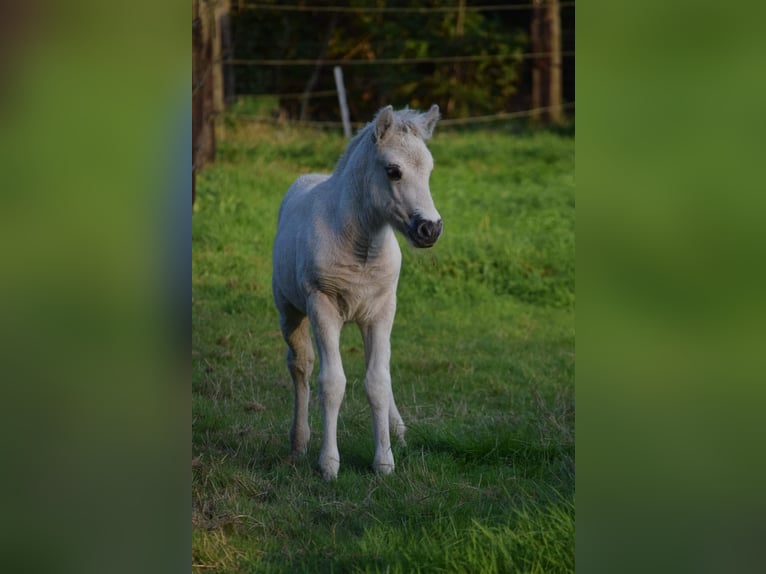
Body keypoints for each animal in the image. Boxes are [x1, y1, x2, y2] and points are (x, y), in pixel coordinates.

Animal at [274, 107, 444, 482]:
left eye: (429, 169)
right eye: (393, 170)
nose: (430, 229)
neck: (361, 247)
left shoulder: (382, 311)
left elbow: (378, 381)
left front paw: (384, 461)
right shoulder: (321, 306)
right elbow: (332, 382)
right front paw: (328, 464)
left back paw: (398, 429)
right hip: (289, 310)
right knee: (301, 365)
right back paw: (298, 443)